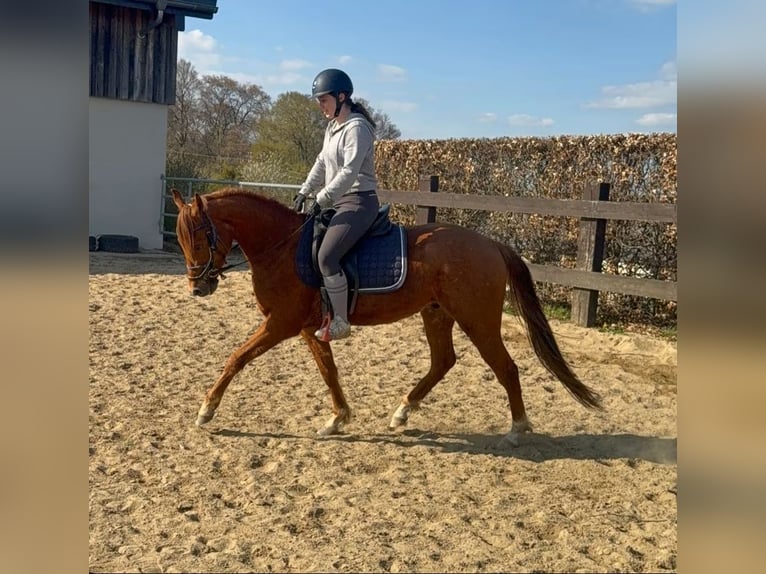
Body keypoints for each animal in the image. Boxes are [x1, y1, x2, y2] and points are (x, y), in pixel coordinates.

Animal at [170, 187, 602, 445]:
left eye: (200, 237)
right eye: (180, 238)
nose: (198, 288)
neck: (282, 247)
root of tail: (491, 244)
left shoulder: (280, 324)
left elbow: (236, 358)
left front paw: (206, 411)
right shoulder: (309, 328)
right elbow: (329, 372)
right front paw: (338, 419)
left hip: (477, 321)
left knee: (506, 367)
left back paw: (517, 429)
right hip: (437, 314)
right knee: (443, 361)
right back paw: (402, 412)